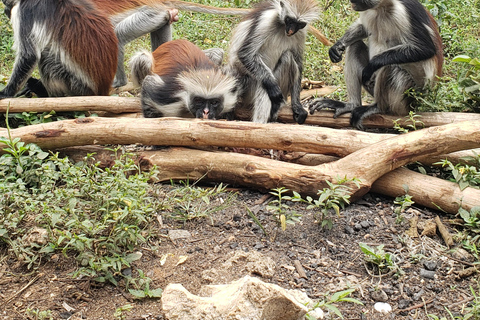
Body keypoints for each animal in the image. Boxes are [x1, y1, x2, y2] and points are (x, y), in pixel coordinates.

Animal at [308, 0, 442, 130]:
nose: (352, 2)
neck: (382, 8)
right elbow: (363, 27)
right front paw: (337, 46)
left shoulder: (402, 11)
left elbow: (426, 49)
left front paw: (372, 65)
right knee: (355, 46)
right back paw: (351, 105)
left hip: (411, 96)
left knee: (388, 65)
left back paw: (378, 107)